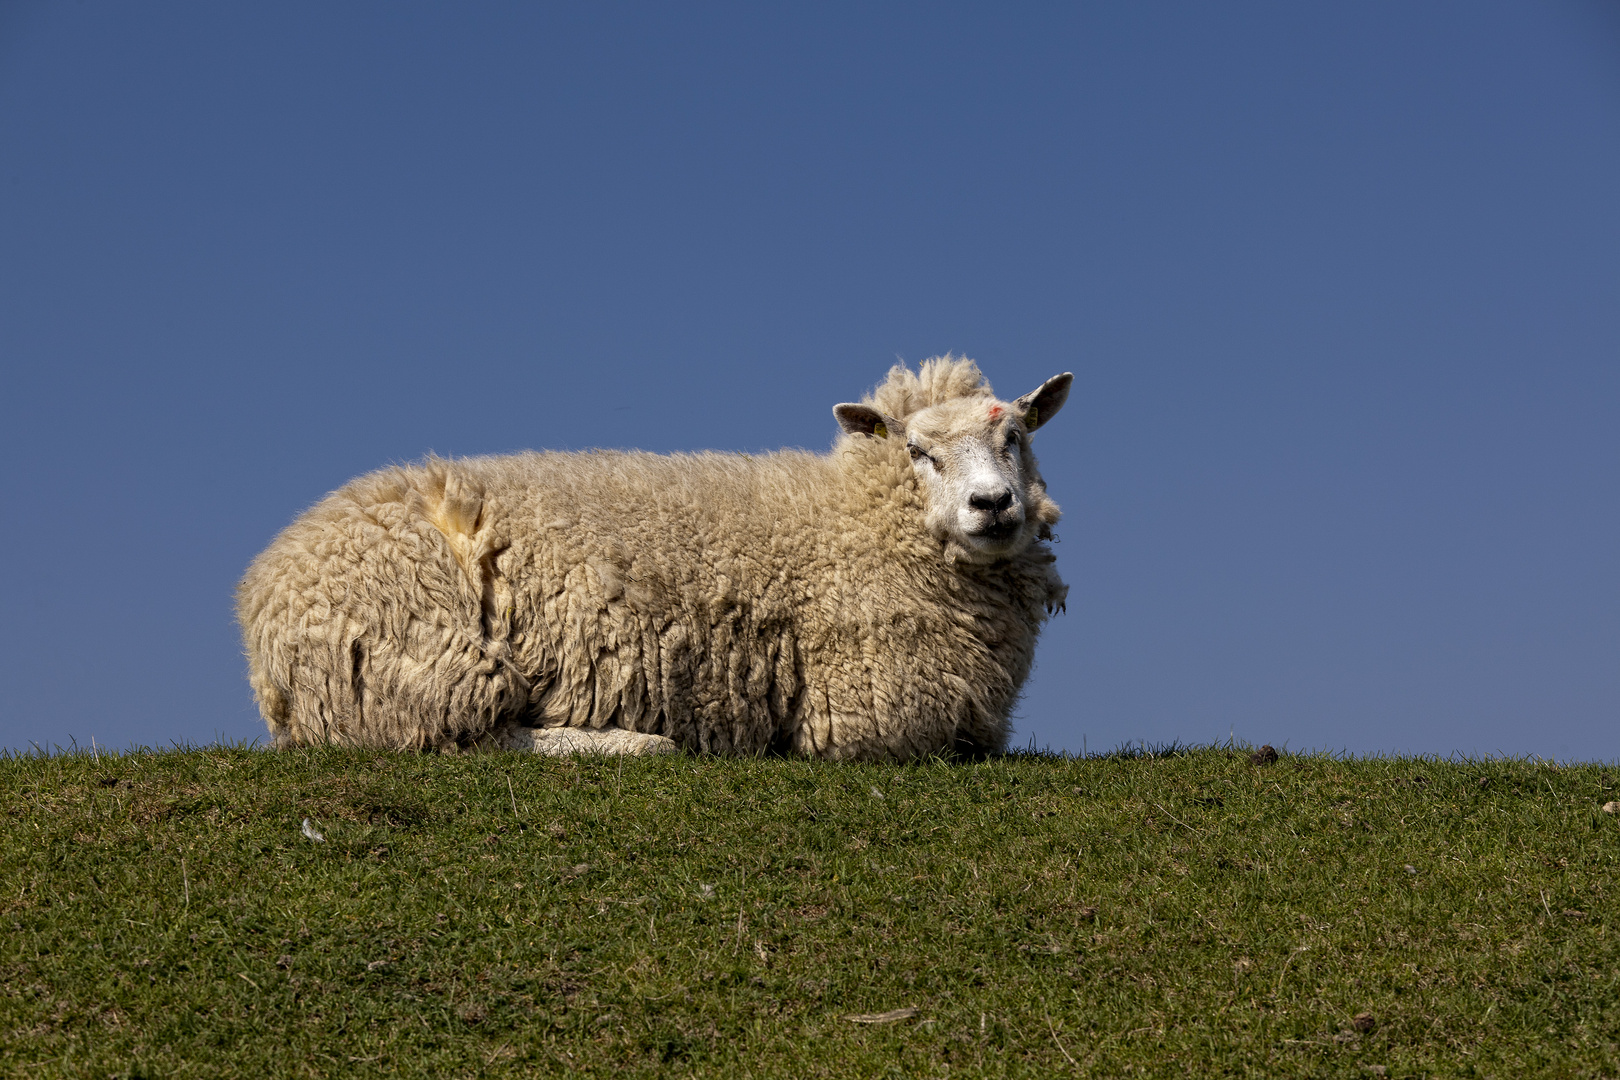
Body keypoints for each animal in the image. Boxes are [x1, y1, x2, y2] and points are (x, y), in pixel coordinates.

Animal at [234, 356, 1069, 761]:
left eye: (1016, 436)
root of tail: (261, 585)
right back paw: (635, 744)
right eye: (919, 452)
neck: (854, 515)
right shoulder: (872, 719)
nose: (993, 505)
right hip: (423, 657)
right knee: (462, 740)